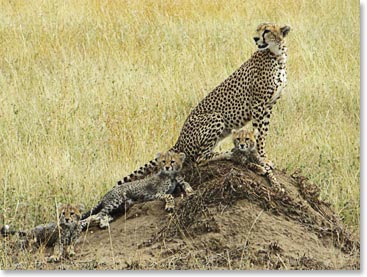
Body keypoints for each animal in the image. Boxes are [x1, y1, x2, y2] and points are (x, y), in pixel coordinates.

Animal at [118, 22, 290, 184]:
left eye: (266, 31)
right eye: (258, 30)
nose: (255, 38)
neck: (277, 56)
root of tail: (179, 140)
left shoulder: (268, 105)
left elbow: (263, 132)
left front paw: (262, 155)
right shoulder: (258, 104)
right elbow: (259, 133)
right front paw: (262, 157)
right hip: (216, 117)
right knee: (199, 158)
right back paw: (228, 153)